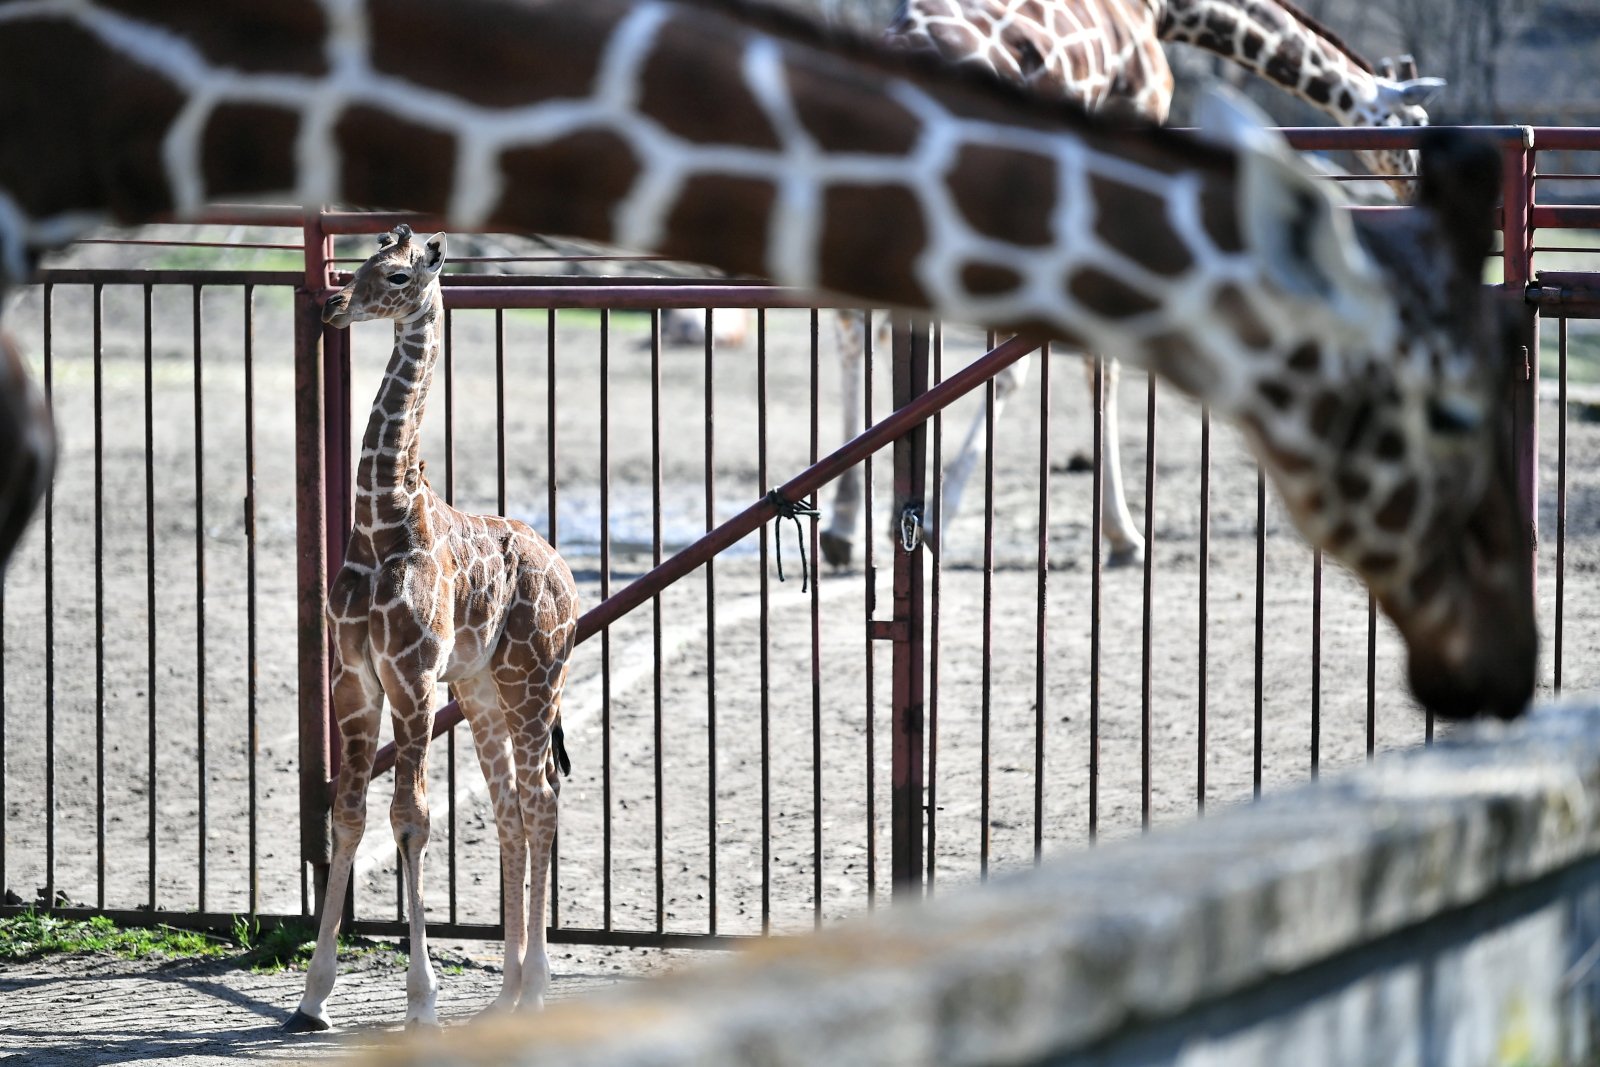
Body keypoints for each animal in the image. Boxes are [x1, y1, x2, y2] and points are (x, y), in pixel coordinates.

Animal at [288, 225, 582, 1036]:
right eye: (357, 264)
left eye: (394, 275)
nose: (333, 307)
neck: (380, 521)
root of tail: (568, 576)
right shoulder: (354, 678)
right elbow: (350, 816)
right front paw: (312, 997)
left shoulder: (413, 678)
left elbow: (411, 818)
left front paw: (421, 1000)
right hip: (483, 689)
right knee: (511, 805)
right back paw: (505, 993)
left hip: (533, 681)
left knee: (542, 798)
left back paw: (536, 987)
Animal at [825, 0, 1452, 566]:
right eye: (1418, 126)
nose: (1420, 196)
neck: (1166, 10)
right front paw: (1122, 534)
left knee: (856, 326)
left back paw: (845, 525)